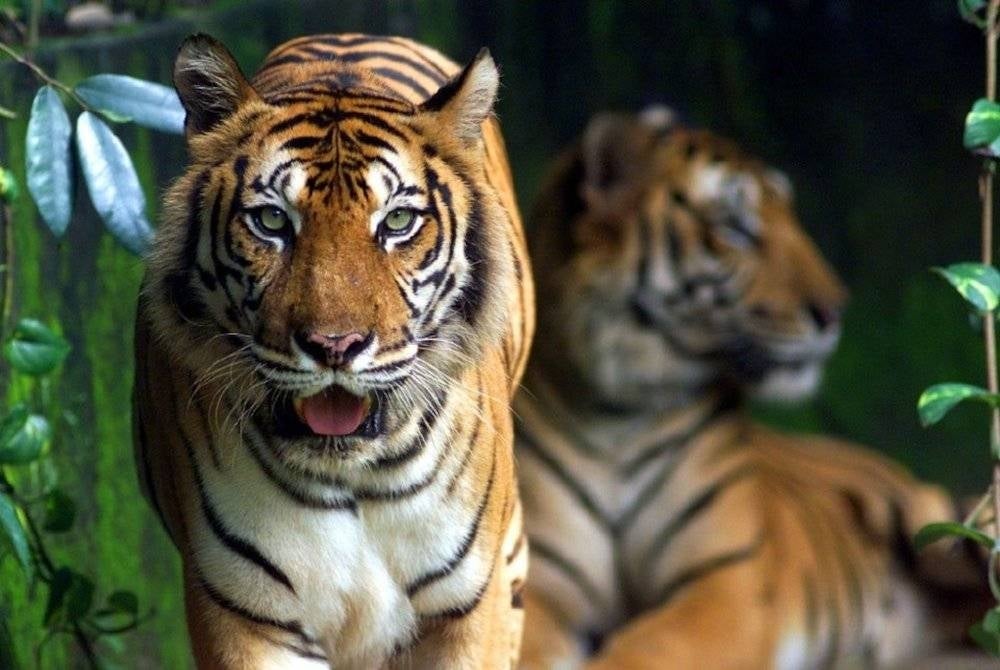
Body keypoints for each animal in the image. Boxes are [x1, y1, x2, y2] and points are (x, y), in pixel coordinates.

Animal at [132, 33, 533, 669]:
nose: (335, 346)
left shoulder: (470, 608)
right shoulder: (243, 616)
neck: (356, 475)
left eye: (398, 220)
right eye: (272, 220)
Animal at [514, 108, 988, 669]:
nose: (835, 311)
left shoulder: (728, 576)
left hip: (943, 527)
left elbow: (645, 648)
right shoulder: (541, 584)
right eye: (736, 229)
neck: (616, 414)